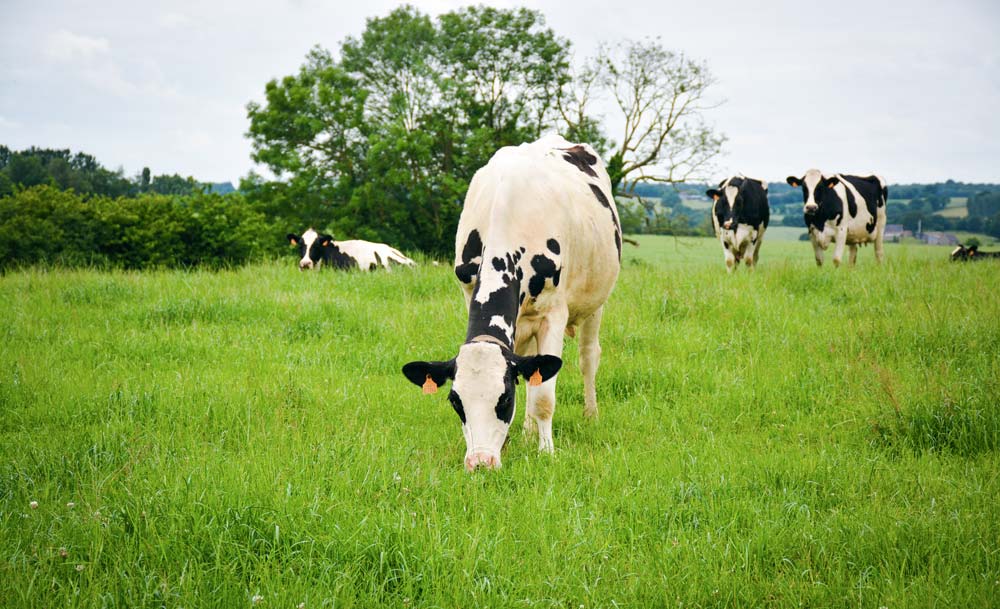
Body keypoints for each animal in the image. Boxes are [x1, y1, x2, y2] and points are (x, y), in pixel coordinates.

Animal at [402, 135, 620, 472]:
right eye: (455, 401)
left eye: (504, 399)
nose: (480, 462)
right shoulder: (470, 294)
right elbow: (529, 376)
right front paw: (512, 441)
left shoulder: (553, 313)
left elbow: (543, 394)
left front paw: (547, 451)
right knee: (530, 363)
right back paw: (528, 431)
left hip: (596, 302)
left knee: (588, 358)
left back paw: (589, 415)